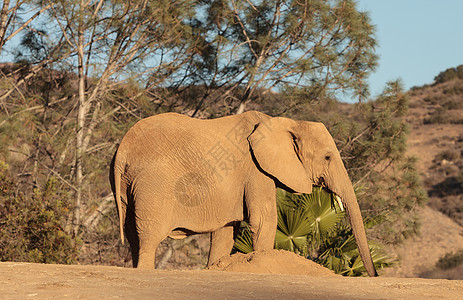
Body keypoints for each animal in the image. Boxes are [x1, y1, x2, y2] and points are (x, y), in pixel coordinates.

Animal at [110, 110, 378, 276]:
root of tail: (122, 150)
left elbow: (225, 232)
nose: (374, 275)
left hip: (127, 187)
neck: (284, 123)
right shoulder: (255, 170)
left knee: (133, 235)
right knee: (148, 237)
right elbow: (264, 220)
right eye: (327, 157)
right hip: (153, 186)